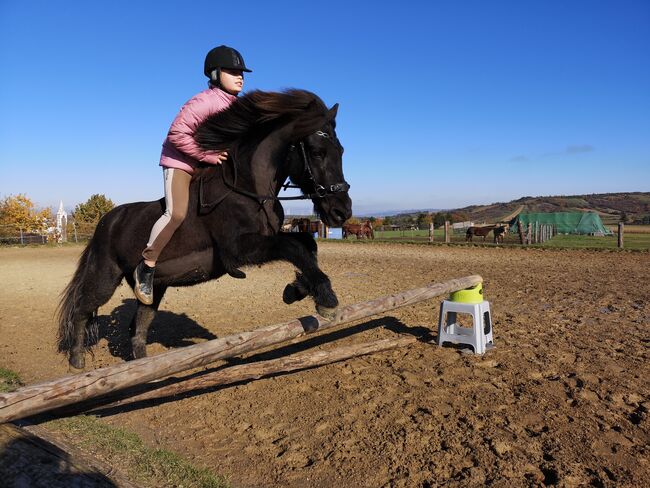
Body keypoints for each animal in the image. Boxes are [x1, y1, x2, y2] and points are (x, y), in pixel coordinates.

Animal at [57, 89, 350, 368]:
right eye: (317, 152)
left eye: (341, 151)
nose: (342, 211)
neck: (248, 187)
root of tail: (107, 220)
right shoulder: (240, 249)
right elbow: (293, 247)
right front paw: (326, 298)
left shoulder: (268, 237)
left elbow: (307, 244)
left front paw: (298, 290)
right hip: (105, 276)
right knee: (82, 309)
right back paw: (77, 361)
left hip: (156, 287)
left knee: (139, 325)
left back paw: (143, 367)